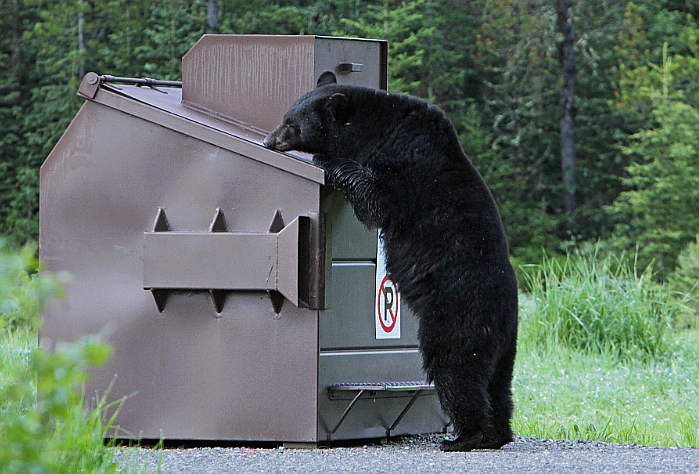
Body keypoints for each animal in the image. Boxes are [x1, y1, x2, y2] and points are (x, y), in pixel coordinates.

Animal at [266, 72, 516, 450]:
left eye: (292, 123)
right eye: (285, 115)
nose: (269, 140)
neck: (378, 128)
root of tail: (503, 312)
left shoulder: (407, 163)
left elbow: (379, 202)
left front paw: (329, 161)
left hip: (458, 314)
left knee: (455, 368)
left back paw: (465, 436)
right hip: (504, 344)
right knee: (499, 384)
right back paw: (497, 433)